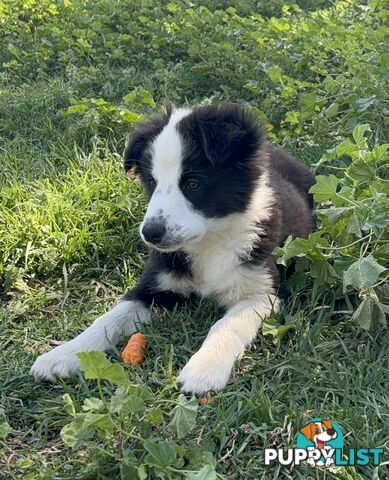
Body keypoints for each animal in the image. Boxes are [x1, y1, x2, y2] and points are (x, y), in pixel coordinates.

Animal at [31, 103, 316, 396]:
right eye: (151, 182)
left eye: (193, 184)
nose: (150, 233)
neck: (209, 241)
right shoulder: (152, 286)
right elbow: (108, 320)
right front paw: (65, 354)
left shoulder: (262, 292)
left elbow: (227, 325)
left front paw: (204, 369)